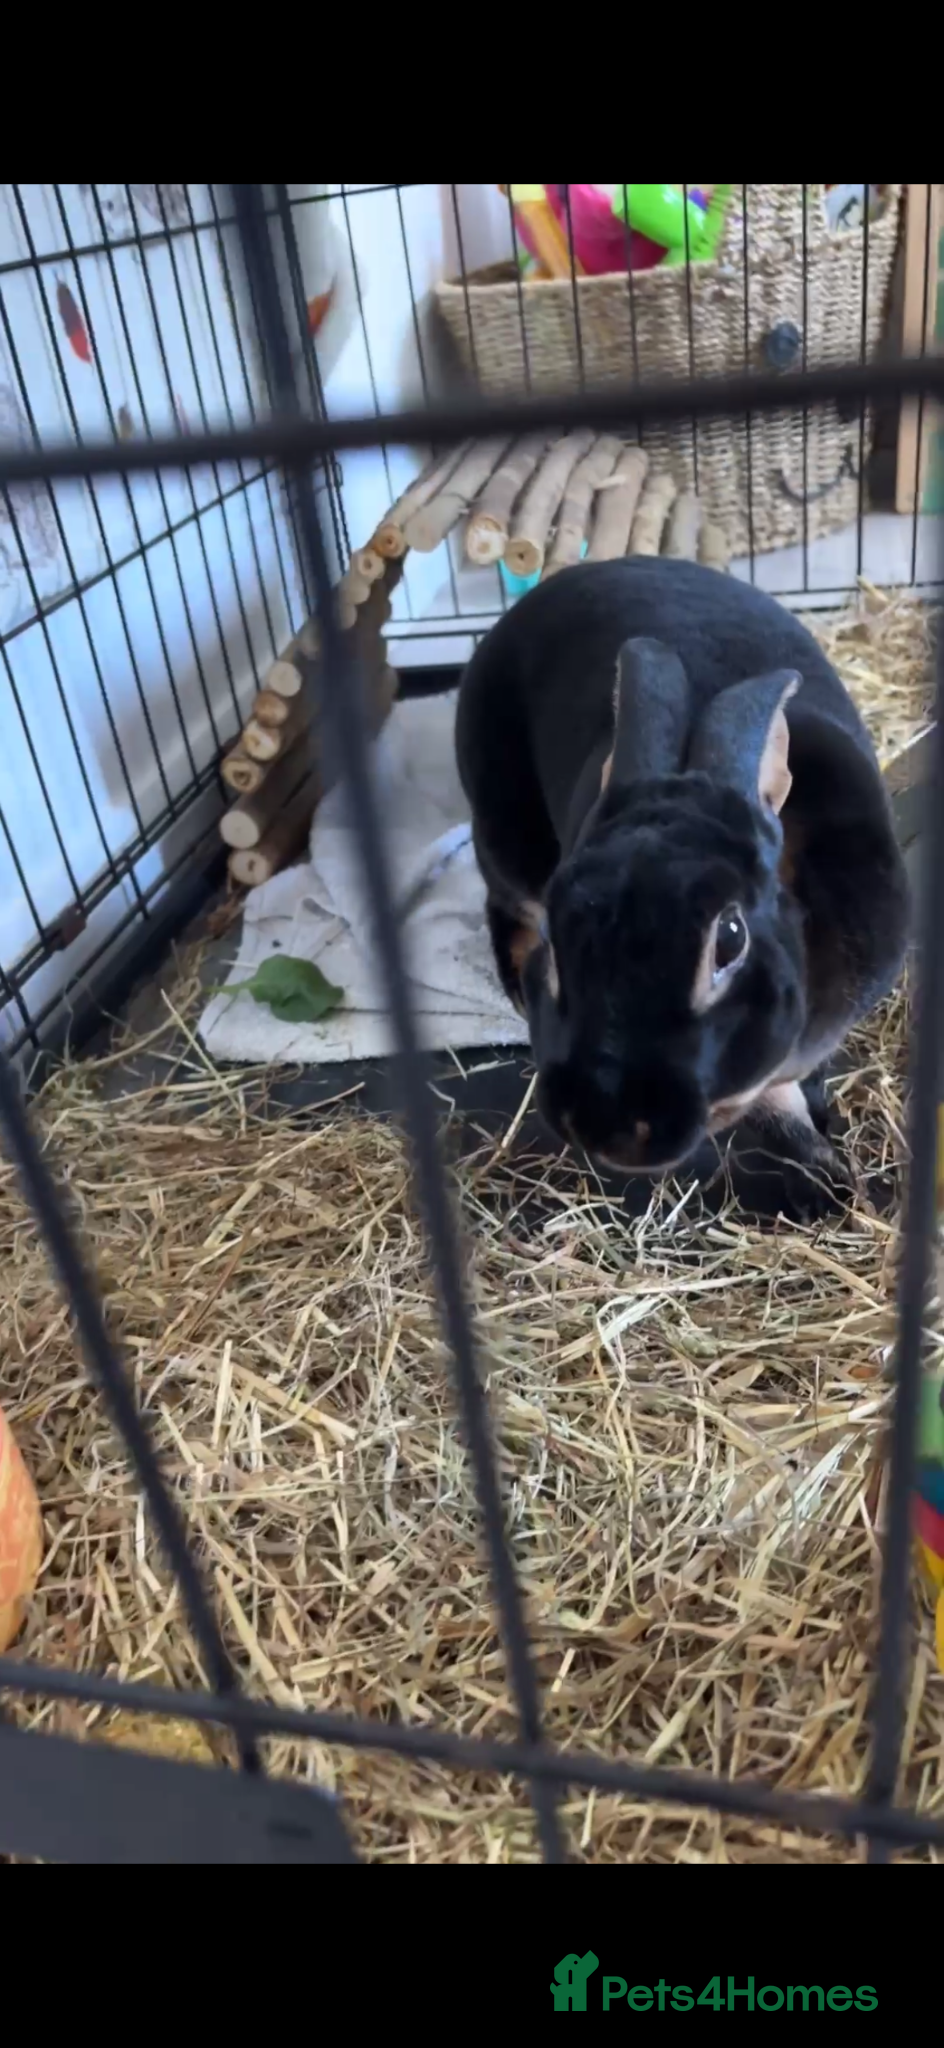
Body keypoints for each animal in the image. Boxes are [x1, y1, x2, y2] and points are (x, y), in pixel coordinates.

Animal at [455, 557, 910, 1221]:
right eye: (558, 945)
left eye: (731, 938)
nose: (608, 1126)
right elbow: (778, 1113)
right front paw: (831, 1188)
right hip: (500, 831)